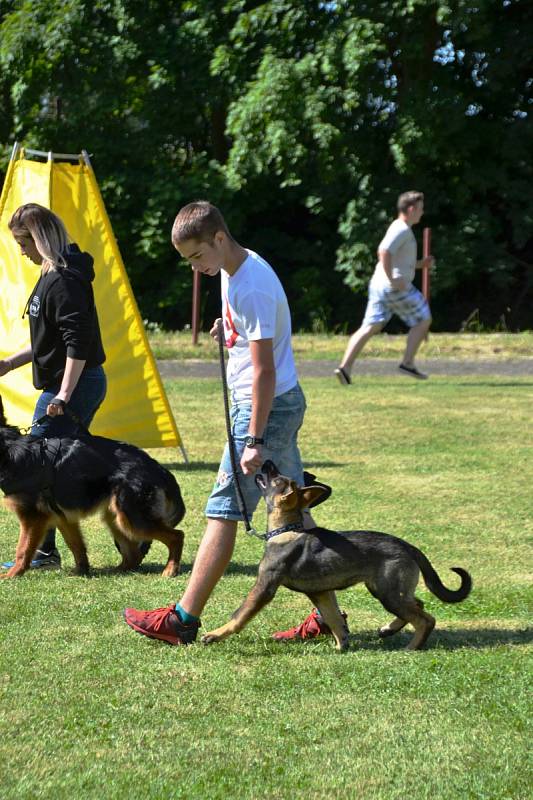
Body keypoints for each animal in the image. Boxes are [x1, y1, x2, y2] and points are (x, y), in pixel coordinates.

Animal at [0, 396, 185, 580]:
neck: (7, 451)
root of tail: (157, 468)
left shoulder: (33, 517)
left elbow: (23, 549)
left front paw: (13, 574)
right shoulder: (63, 517)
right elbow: (76, 545)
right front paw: (82, 570)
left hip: (132, 518)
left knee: (177, 536)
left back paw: (170, 569)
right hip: (116, 518)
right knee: (134, 555)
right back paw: (117, 571)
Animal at [202, 462, 472, 648]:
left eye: (275, 478)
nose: (267, 462)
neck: (285, 530)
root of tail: (409, 546)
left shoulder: (264, 587)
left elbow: (239, 616)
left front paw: (215, 634)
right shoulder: (320, 593)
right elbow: (333, 620)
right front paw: (341, 646)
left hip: (388, 591)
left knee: (426, 619)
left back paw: (411, 646)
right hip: (387, 588)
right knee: (418, 604)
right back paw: (388, 629)